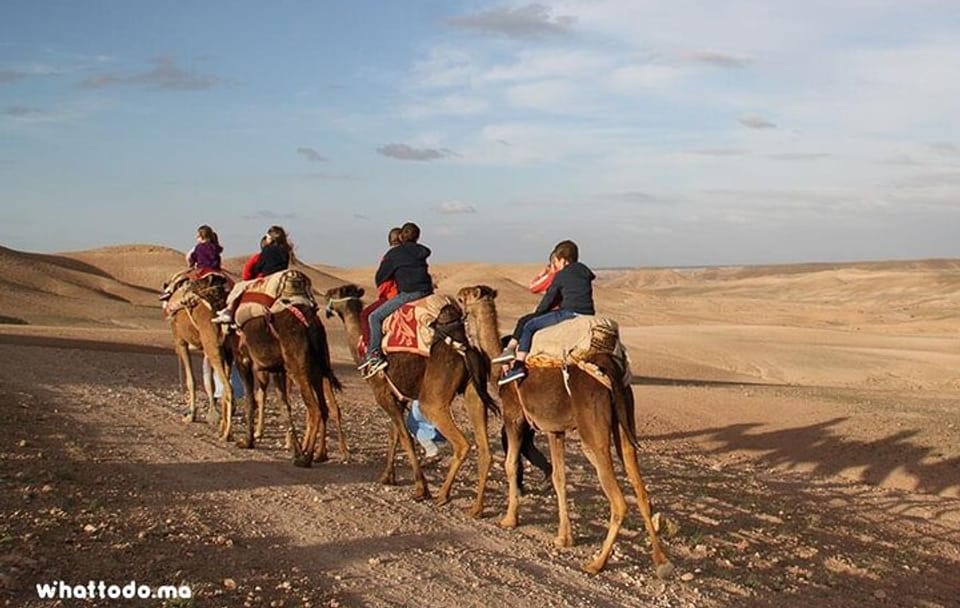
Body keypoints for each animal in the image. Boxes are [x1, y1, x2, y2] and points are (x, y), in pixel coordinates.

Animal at [166, 274, 235, 440]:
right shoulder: (205, 350)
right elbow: (209, 382)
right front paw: (212, 416)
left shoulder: (180, 342)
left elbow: (191, 380)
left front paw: (191, 416)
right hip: (228, 352)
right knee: (225, 387)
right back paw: (222, 428)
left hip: (213, 346)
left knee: (229, 388)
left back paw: (226, 435)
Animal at [323, 284, 499, 515]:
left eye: (334, 293)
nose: (323, 302)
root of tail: (464, 349)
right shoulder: (398, 398)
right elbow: (394, 435)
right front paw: (387, 477)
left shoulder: (382, 394)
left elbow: (406, 438)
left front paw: (420, 489)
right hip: (474, 394)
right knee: (485, 450)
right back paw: (476, 509)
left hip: (432, 402)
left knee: (462, 444)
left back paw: (443, 495)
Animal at [457, 285, 673, 576]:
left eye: (463, 297)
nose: (456, 305)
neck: (497, 365)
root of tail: (609, 366)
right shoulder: (554, 429)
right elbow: (558, 477)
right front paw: (564, 537)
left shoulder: (514, 416)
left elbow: (511, 464)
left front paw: (509, 519)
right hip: (625, 420)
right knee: (640, 487)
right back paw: (661, 561)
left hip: (592, 432)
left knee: (618, 499)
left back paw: (596, 563)